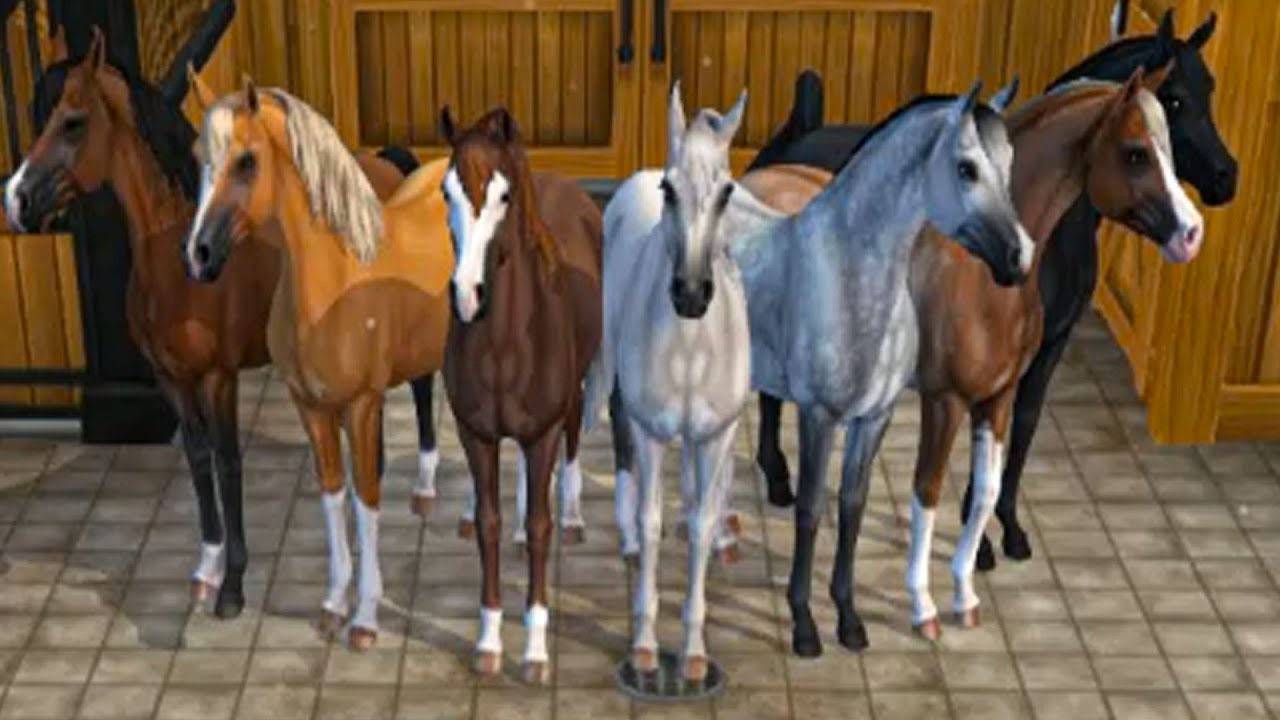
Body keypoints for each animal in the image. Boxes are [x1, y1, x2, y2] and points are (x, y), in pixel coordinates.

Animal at [183, 78, 454, 650]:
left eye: (246, 161)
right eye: (199, 157)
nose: (199, 255)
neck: (335, 276)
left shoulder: (363, 405)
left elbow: (366, 497)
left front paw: (366, 619)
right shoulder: (310, 406)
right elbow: (332, 493)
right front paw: (333, 605)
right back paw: (426, 493)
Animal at [438, 107, 602, 684]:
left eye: (504, 196)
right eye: (445, 191)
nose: (466, 297)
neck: (506, 345)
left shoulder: (542, 432)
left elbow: (539, 526)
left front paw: (534, 652)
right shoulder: (476, 433)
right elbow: (489, 524)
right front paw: (488, 642)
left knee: (573, 437)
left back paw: (573, 516)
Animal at [589, 83, 752, 681]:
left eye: (727, 192)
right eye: (669, 189)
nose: (690, 295)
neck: (690, 349)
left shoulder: (714, 435)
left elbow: (700, 523)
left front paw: (694, 652)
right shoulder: (651, 431)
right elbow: (651, 518)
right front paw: (643, 642)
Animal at [748, 9, 1237, 572]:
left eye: (1211, 89)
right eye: (1173, 103)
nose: (1224, 183)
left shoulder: (1044, 351)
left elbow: (1021, 431)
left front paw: (1007, 530)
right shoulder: (954, 388)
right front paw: (978, 545)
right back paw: (778, 480)